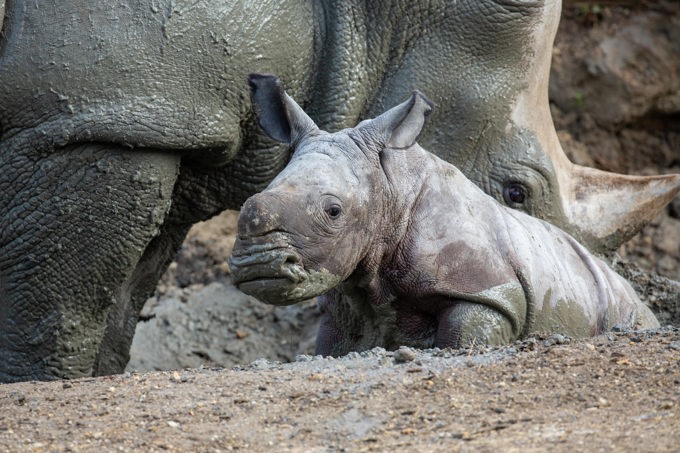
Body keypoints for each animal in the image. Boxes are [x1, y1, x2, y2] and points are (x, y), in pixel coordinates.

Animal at [229, 75, 659, 354]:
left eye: (333, 211)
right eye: (251, 198)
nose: (255, 265)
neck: (392, 193)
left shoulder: (488, 288)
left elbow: (465, 333)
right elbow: (331, 345)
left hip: (622, 303)